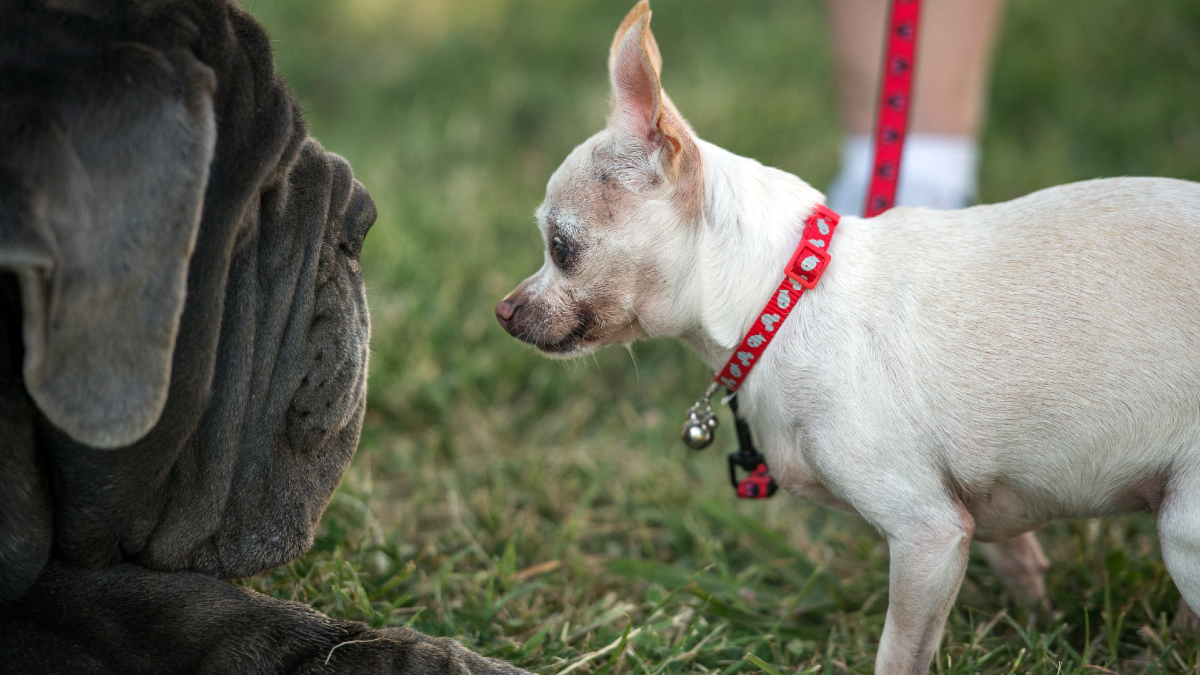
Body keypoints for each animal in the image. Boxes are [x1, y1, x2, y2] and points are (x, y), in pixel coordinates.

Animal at [496, 2, 1200, 667]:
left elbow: (898, 651)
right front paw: (1038, 618)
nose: (504, 310)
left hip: (1183, 529)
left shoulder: (928, 535)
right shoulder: (973, 514)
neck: (784, 298)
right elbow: (1017, 557)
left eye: (561, 247)